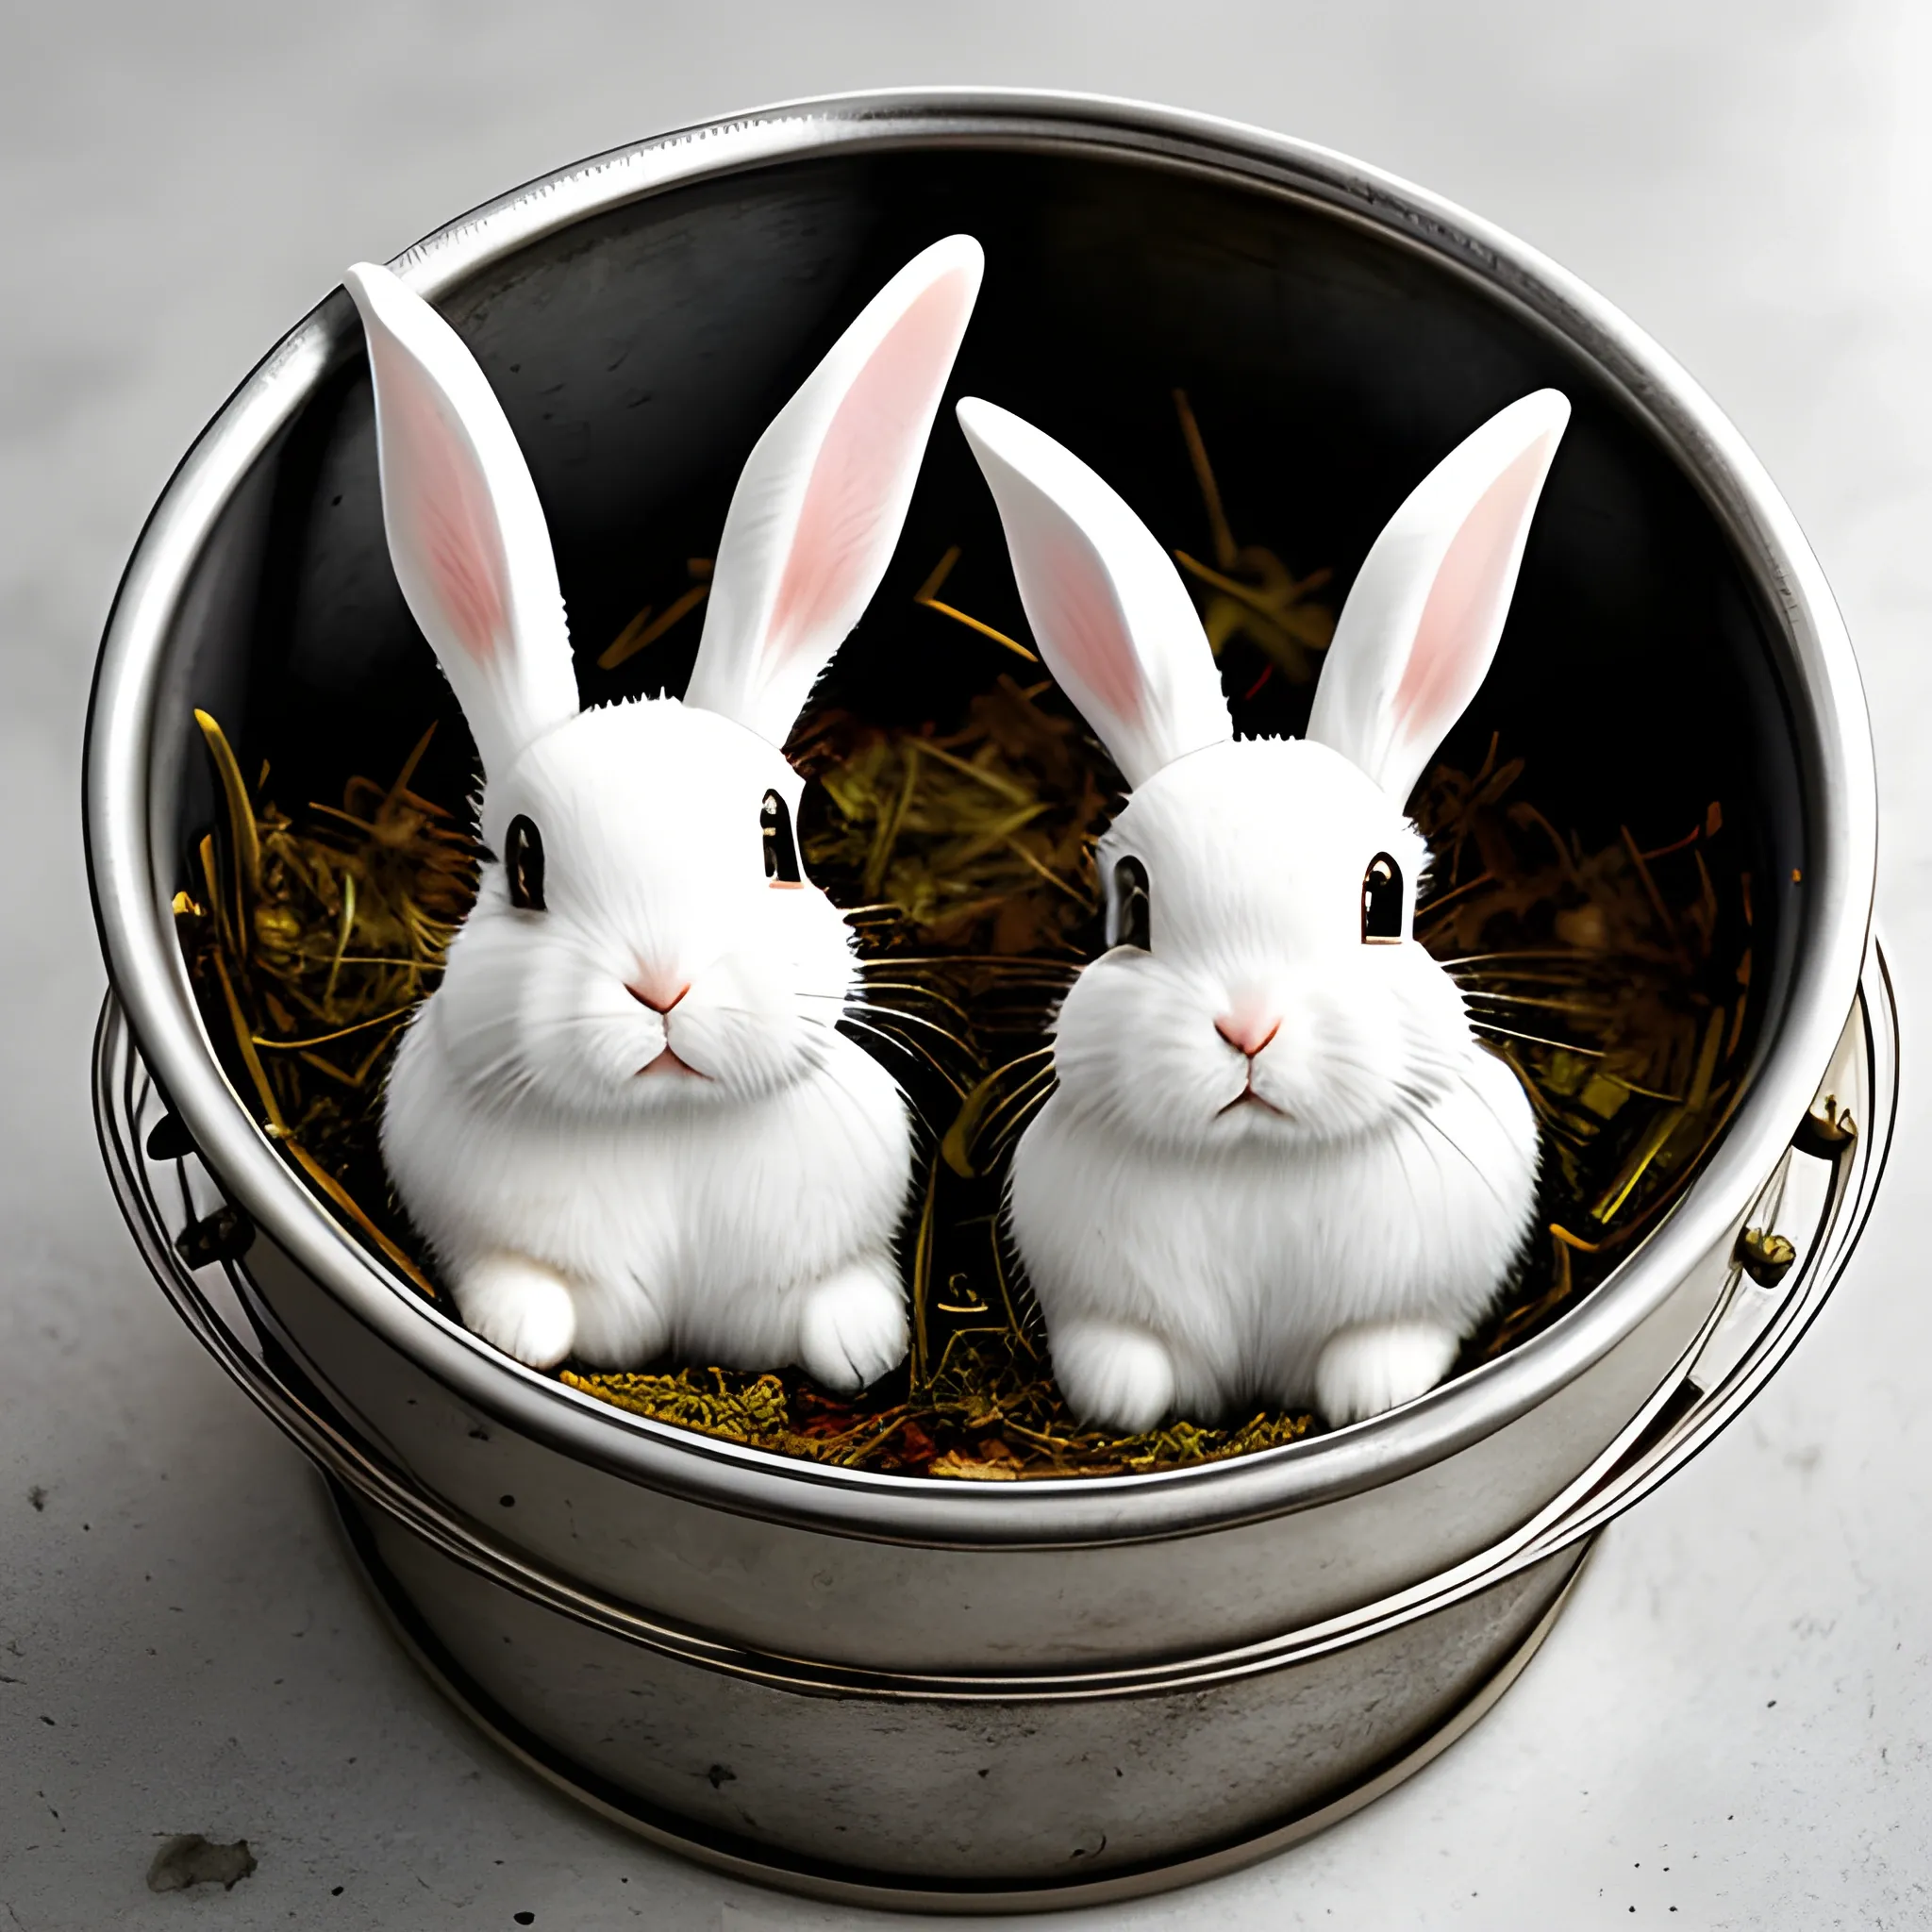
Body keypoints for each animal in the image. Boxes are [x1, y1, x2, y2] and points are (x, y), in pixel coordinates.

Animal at [341, 242, 989, 1383]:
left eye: (777, 837)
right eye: (522, 862)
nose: (663, 987)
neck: (669, 1123)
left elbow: (837, 1297)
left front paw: (862, 1351)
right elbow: (520, 1287)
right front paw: (520, 1332)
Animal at [958, 384, 1576, 1429]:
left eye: (1382, 895)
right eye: (1132, 900)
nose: (1248, 1029)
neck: (1257, 1162)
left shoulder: (1415, 1294)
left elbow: (1379, 1348)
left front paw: (1368, 1395)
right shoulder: (1105, 1303)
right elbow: (1125, 1361)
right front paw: (1119, 1405)